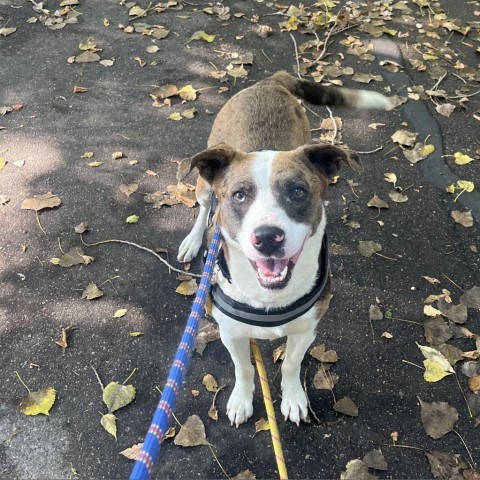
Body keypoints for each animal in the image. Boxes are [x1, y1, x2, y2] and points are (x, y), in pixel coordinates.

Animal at [176, 70, 390, 424]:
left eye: (298, 191)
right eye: (239, 195)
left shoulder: (306, 330)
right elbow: (243, 368)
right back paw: (193, 241)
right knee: (205, 207)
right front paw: (242, 399)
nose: (266, 237)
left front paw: (293, 398)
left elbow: (290, 364)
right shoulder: (231, 333)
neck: (268, 298)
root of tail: (271, 81)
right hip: (205, 180)